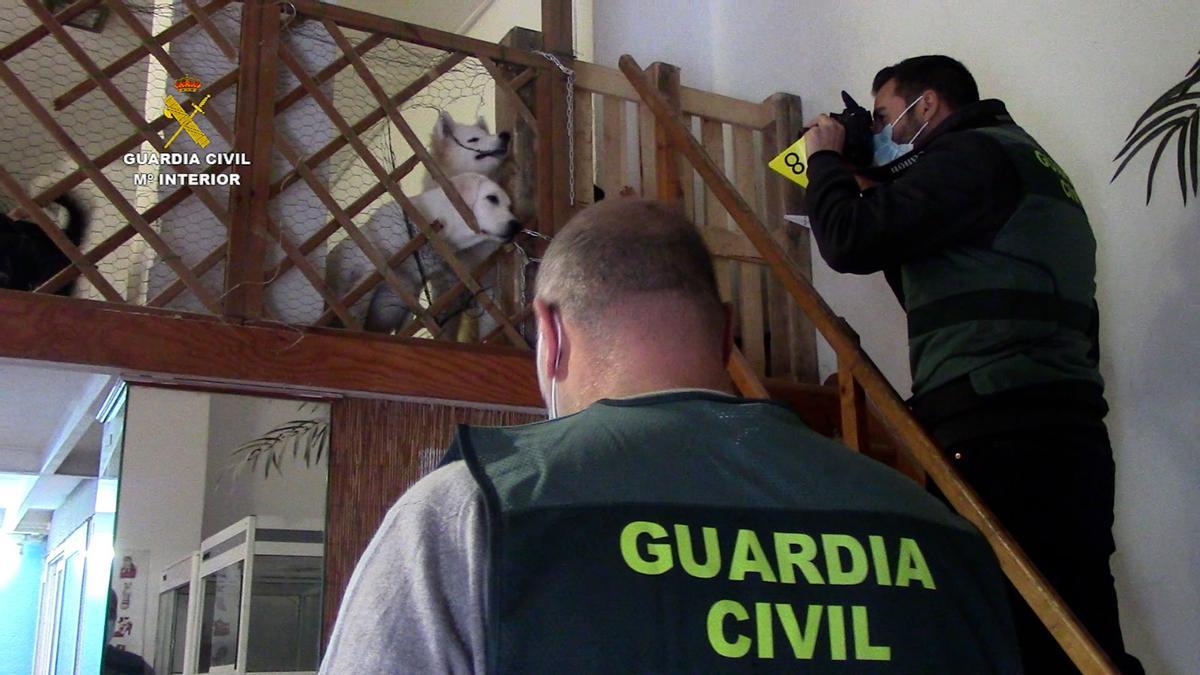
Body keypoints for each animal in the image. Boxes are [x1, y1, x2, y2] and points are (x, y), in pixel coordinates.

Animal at [328, 170, 520, 333]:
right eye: (492, 198)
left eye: (510, 207)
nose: (516, 226)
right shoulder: (370, 274)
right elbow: (357, 311)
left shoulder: (413, 294)